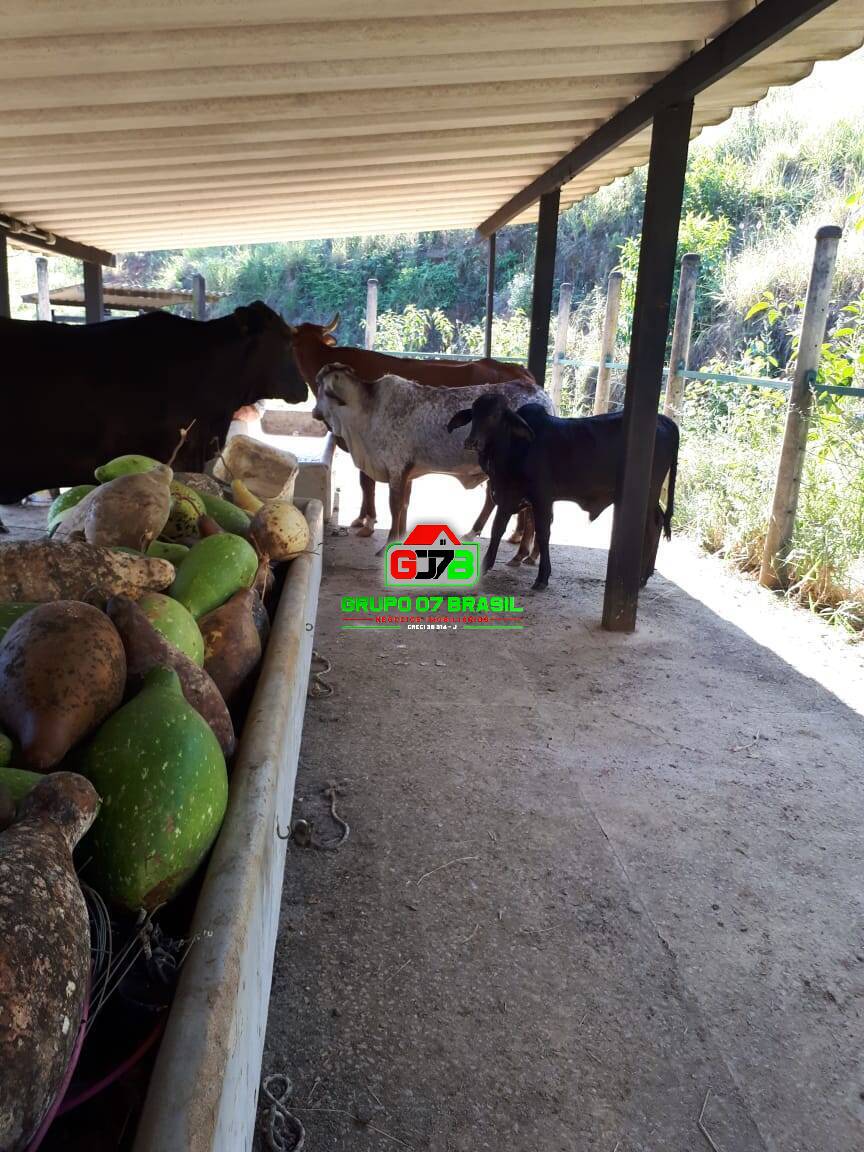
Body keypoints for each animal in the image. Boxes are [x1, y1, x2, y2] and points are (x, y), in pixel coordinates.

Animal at [449, 396, 681, 594]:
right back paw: (645, 575)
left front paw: (542, 577)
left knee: (653, 526)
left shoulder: (541, 497)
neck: (517, 447)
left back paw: (641, 578)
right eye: (474, 412)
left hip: (647, 493)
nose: (471, 442)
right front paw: (485, 565)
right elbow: (498, 528)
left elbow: (543, 533)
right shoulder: (508, 495)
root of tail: (665, 420)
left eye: (496, 415)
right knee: (659, 521)